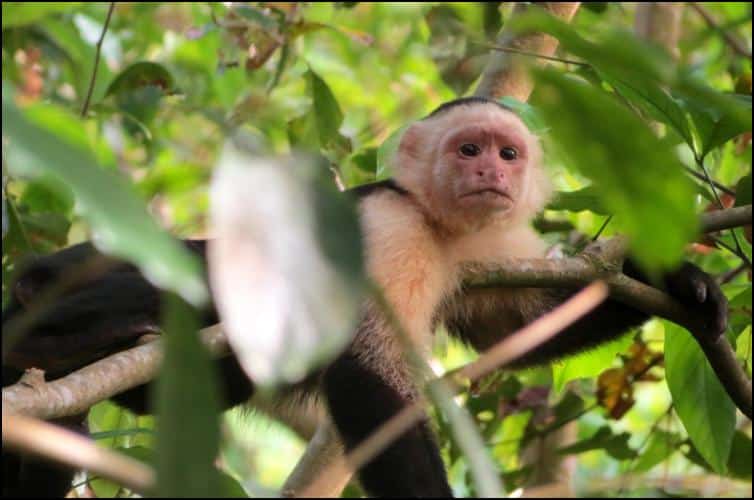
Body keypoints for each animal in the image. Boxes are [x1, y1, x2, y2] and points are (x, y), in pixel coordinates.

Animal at [1, 96, 728, 496]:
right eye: (468, 149)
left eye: (508, 154)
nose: (490, 173)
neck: (439, 226)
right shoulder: (390, 227)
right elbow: (365, 366)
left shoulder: (490, 249)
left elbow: (525, 327)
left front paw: (687, 285)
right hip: (73, 282)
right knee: (171, 284)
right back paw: (66, 344)